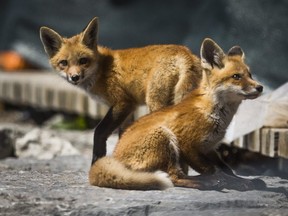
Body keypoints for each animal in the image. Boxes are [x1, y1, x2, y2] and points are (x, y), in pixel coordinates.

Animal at [40, 16, 202, 165]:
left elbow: (99, 131)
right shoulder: (130, 110)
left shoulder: (123, 102)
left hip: (155, 102)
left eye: (83, 61)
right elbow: (124, 135)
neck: (101, 70)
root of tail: (185, 52)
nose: (74, 77)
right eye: (64, 63)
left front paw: (98, 160)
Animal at [89, 38, 264, 191]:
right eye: (236, 76)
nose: (260, 87)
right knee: (174, 177)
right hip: (164, 137)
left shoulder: (209, 148)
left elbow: (226, 168)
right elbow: (213, 169)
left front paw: (239, 179)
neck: (214, 114)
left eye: (250, 75)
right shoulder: (188, 145)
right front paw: (235, 182)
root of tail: (115, 157)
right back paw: (204, 183)